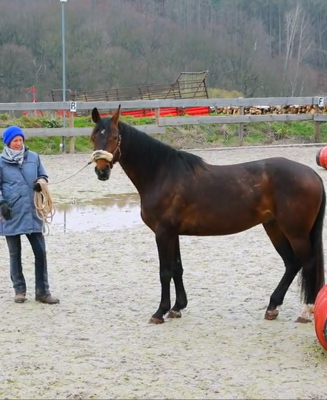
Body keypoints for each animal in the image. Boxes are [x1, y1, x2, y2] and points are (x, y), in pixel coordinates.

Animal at [89, 105, 326, 324]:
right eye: (93, 136)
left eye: (114, 137)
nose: (101, 171)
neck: (162, 174)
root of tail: (313, 174)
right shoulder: (173, 233)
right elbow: (177, 268)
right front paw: (177, 307)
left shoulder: (163, 233)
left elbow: (165, 271)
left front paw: (160, 312)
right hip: (274, 227)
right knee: (292, 264)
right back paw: (273, 307)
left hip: (295, 232)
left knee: (308, 264)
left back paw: (306, 311)